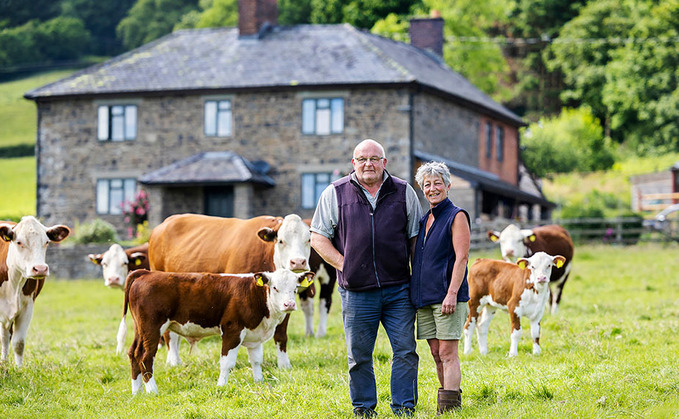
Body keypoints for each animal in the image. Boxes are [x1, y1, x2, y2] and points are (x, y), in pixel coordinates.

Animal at [0, 218, 69, 366]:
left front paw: (19, 369)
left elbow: (18, 343)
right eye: (19, 242)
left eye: (46, 242)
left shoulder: (27, 307)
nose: (40, 269)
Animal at [117, 270, 316, 394]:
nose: (289, 305)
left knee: (133, 353)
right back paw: (152, 390)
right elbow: (227, 363)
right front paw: (221, 386)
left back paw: (137, 391)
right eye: (275, 288)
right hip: (152, 327)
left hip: (140, 329)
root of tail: (147, 272)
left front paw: (259, 382)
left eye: (295, 288)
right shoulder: (232, 330)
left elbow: (256, 361)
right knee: (145, 356)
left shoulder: (254, 335)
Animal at [147, 213, 312, 368]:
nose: (298, 262)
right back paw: (174, 361)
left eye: (308, 240)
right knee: (169, 334)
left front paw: (284, 365)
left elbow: (281, 334)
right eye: (281, 240)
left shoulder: (283, 304)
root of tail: (165, 223)